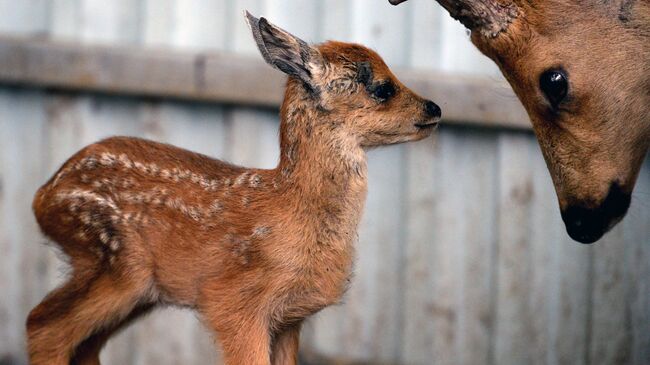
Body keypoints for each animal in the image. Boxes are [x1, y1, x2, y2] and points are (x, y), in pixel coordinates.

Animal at [26, 11, 440, 364]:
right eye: (383, 88)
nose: (434, 108)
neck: (292, 207)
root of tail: (43, 196)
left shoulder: (290, 318)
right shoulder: (234, 302)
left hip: (138, 288)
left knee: (80, 343)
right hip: (113, 260)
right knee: (43, 327)